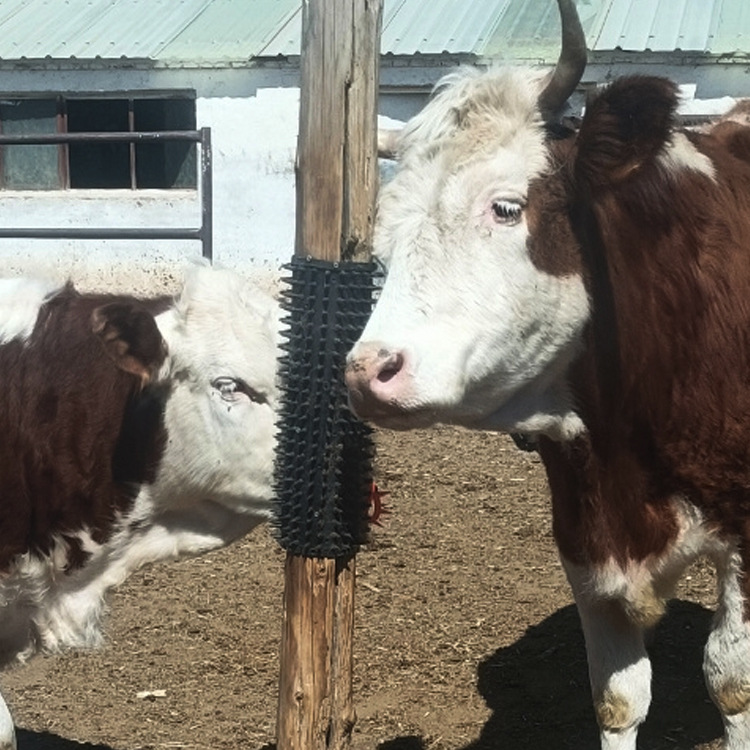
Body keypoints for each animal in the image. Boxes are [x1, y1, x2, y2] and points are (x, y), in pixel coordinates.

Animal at [345, 1, 750, 748]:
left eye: (506, 206)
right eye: (387, 227)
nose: (368, 370)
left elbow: (730, 685)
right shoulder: (584, 530)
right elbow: (618, 697)